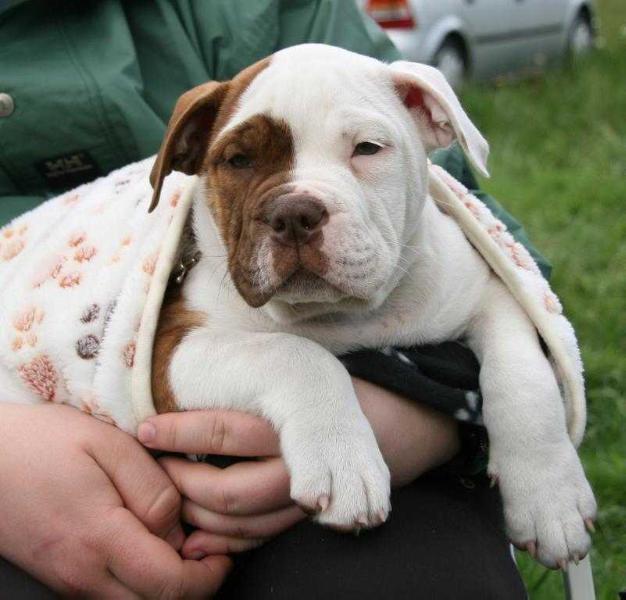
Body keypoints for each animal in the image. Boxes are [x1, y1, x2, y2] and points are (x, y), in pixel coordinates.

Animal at [150, 45, 596, 568]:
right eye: (239, 160)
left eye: (367, 148)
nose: (294, 214)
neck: (345, 315)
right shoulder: (171, 348)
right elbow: (293, 353)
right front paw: (343, 462)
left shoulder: (487, 290)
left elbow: (524, 375)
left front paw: (550, 496)